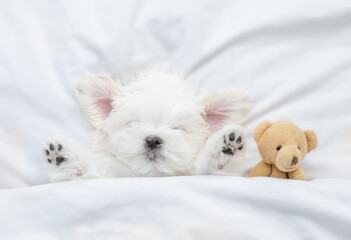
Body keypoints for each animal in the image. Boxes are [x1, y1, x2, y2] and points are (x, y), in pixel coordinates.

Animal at [42, 70, 250, 181]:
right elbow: (90, 169)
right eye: (133, 123)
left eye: (178, 129)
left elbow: (213, 166)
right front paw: (64, 156)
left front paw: (225, 146)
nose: (153, 140)